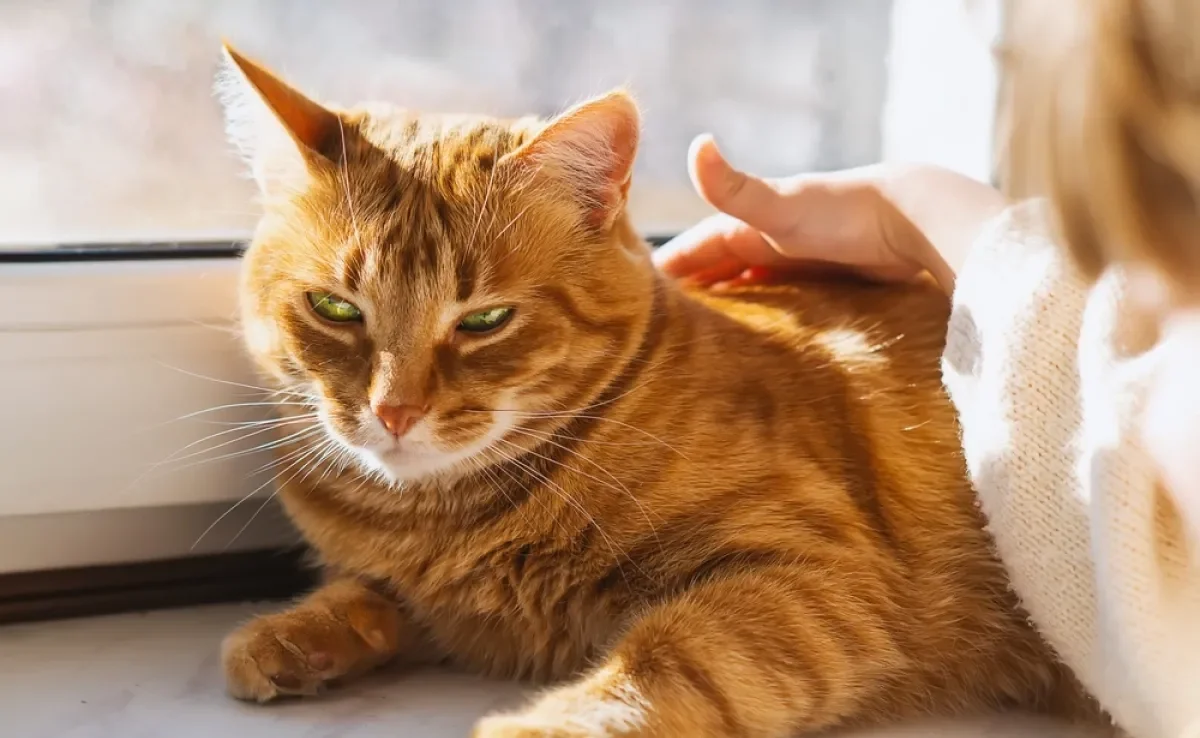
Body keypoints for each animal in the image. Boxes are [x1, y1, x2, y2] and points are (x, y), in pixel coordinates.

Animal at [216, 46, 1099, 738]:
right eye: (335, 308)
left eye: (486, 320)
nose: (393, 411)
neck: (442, 524)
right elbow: (371, 594)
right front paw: (298, 634)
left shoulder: (819, 575)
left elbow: (670, 659)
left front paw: (547, 726)